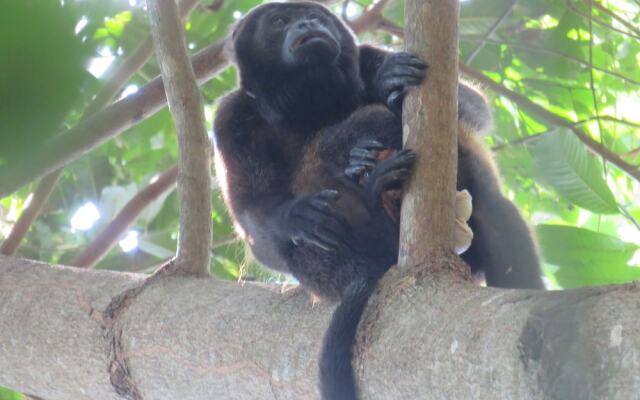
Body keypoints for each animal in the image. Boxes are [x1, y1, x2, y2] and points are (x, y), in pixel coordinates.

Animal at [212, 1, 544, 398]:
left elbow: (473, 107)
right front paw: (298, 215)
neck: (306, 101)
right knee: (313, 240)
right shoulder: (230, 119)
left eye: (314, 16)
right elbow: (255, 226)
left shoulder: (368, 55)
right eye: (279, 21)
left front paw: (390, 80)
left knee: (493, 207)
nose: (308, 23)